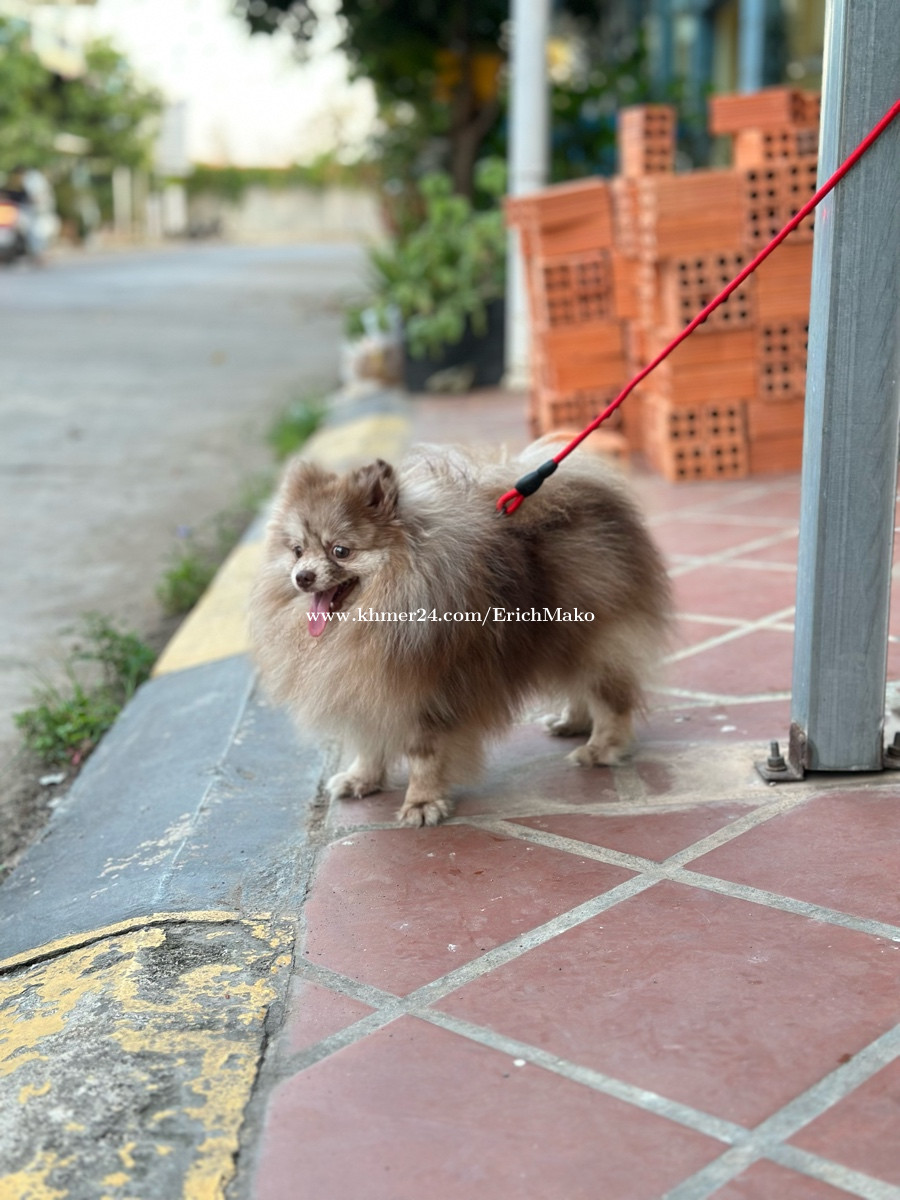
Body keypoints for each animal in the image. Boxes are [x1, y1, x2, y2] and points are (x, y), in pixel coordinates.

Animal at [250, 441, 672, 825]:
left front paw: (422, 803)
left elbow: (424, 756)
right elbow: (369, 744)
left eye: (341, 551)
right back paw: (572, 722)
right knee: (580, 686)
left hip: (594, 640)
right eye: (297, 551)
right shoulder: (366, 695)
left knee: (610, 698)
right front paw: (361, 779)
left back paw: (601, 748)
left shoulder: (427, 697)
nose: (303, 577)